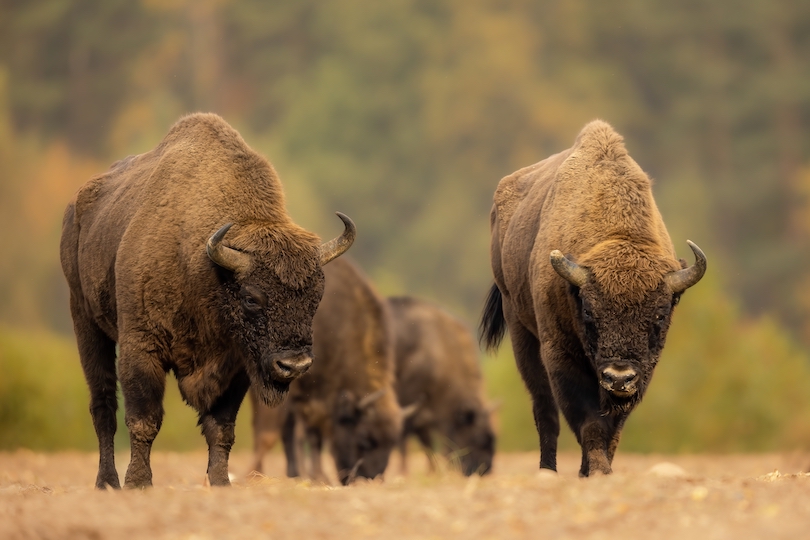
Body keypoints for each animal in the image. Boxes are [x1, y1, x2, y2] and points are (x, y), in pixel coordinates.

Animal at [58, 113, 356, 490]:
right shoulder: (141, 348)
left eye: (316, 297)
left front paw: (220, 482)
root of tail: (76, 208)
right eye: (251, 298)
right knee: (103, 405)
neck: (205, 268)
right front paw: (139, 482)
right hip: (84, 320)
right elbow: (144, 419)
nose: (294, 365)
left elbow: (221, 428)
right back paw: (107, 482)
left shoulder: (238, 365)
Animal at [282, 258, 402, 486]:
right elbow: (311, 436)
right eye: (364, 439)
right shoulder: (307, 397)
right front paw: (317, 477)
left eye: (392, 442)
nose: (371, 479)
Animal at [388, 296, 496, 476]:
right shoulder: (407, 404)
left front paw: (433, 471)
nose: (484, 469)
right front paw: (403, 472)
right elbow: (405, 440)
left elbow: (428, 445)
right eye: (477, 438)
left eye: (492, 438)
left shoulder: (424, 414)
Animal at [482, 121, 704, 476]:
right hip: (519, 327)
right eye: (589, 311)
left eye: (659, 314)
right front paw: (597, 470)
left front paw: (596, 469)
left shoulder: (642, 370)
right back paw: (547, 469)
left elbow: (614, 426)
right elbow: (587, 420)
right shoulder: (560, 354)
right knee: (544, 408)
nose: (619, 377)